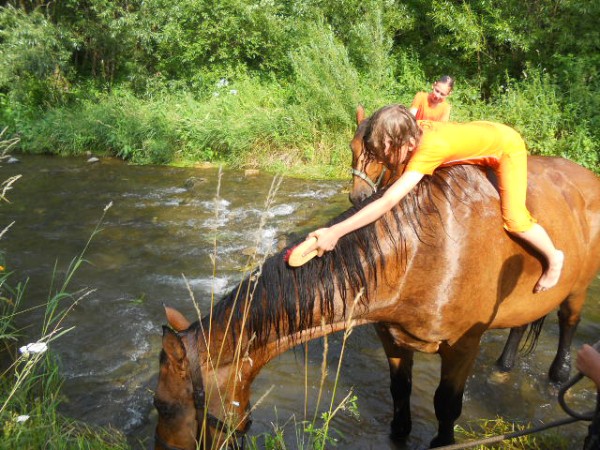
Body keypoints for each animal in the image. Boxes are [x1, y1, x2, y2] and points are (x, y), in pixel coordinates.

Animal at [156, 135, 600, 448]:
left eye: (163, 404)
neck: (427, 252)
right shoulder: (391, 336)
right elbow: (399, 391)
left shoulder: (462, 346)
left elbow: (446, 404)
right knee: (522, 321)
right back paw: (505, 364)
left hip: (576, 290)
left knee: (568, 323)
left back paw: (558, 375)